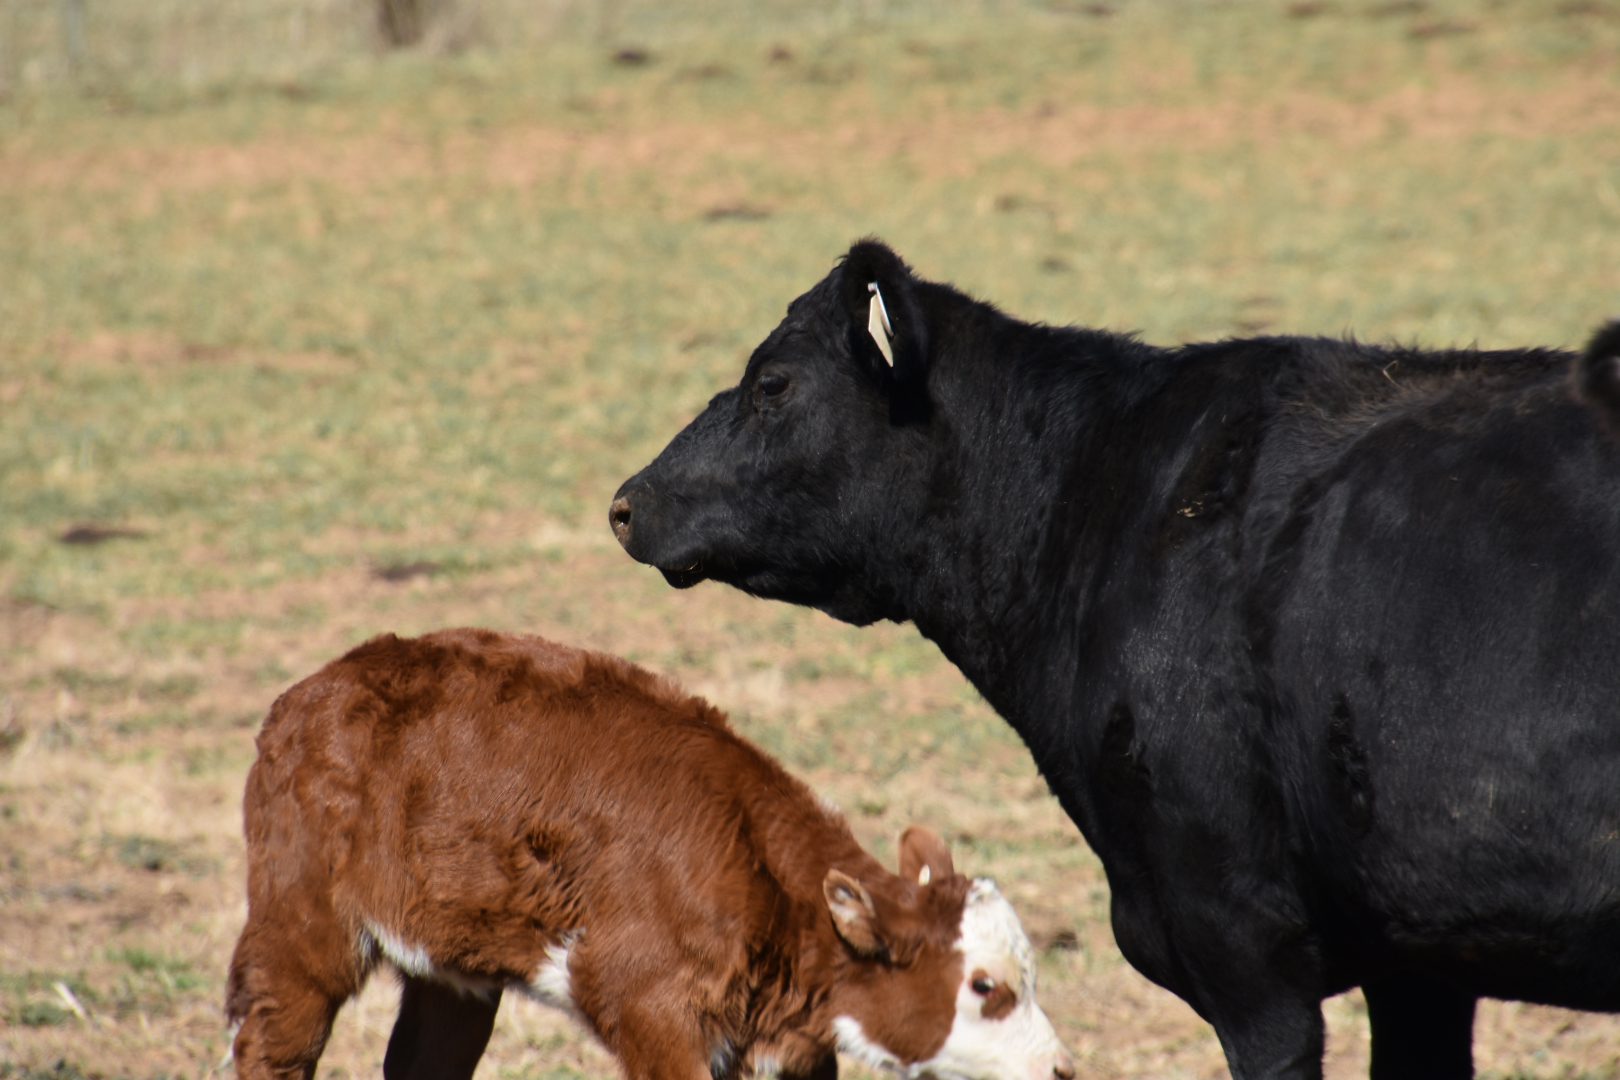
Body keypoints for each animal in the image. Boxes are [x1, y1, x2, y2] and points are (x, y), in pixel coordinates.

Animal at [225, 628, 1075, 1080]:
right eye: (985, 986)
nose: (1061, 1067)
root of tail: (311, 691)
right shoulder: (650, 1005)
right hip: (302, 921)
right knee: (276, 1038)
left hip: (452, 963)